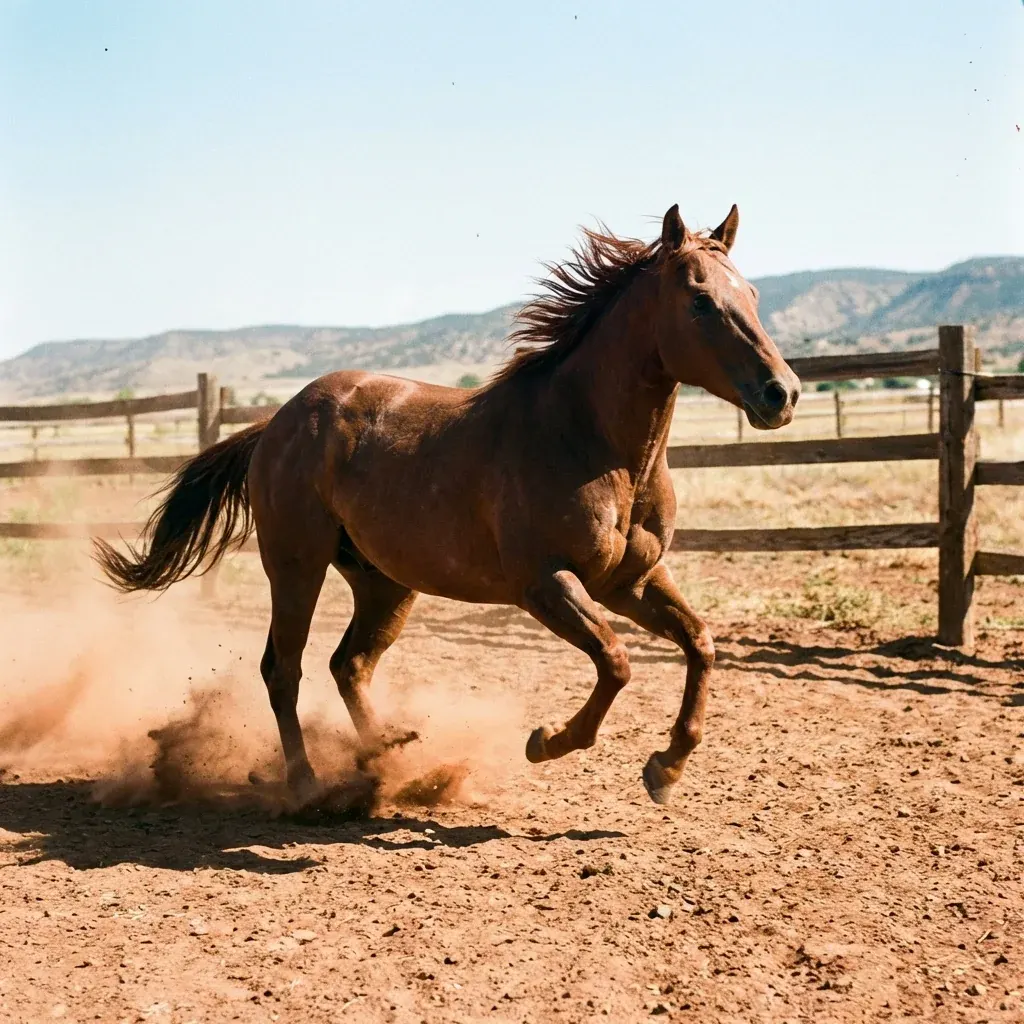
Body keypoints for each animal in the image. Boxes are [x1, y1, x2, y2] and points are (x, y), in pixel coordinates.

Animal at [95, 203, 800, 806]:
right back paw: (309, 788)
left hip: (385, 582)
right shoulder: (545, 583)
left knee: (348, 664)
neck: (592, 442)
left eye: (753, 295)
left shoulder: (631, 581)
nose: (782, 393)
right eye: (701, 301)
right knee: (283, 668)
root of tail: (277, 422)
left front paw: (666, 768)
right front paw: (548, 742)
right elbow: (616, 659)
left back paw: (394, 759)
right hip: (296, 565)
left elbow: (700, 643)